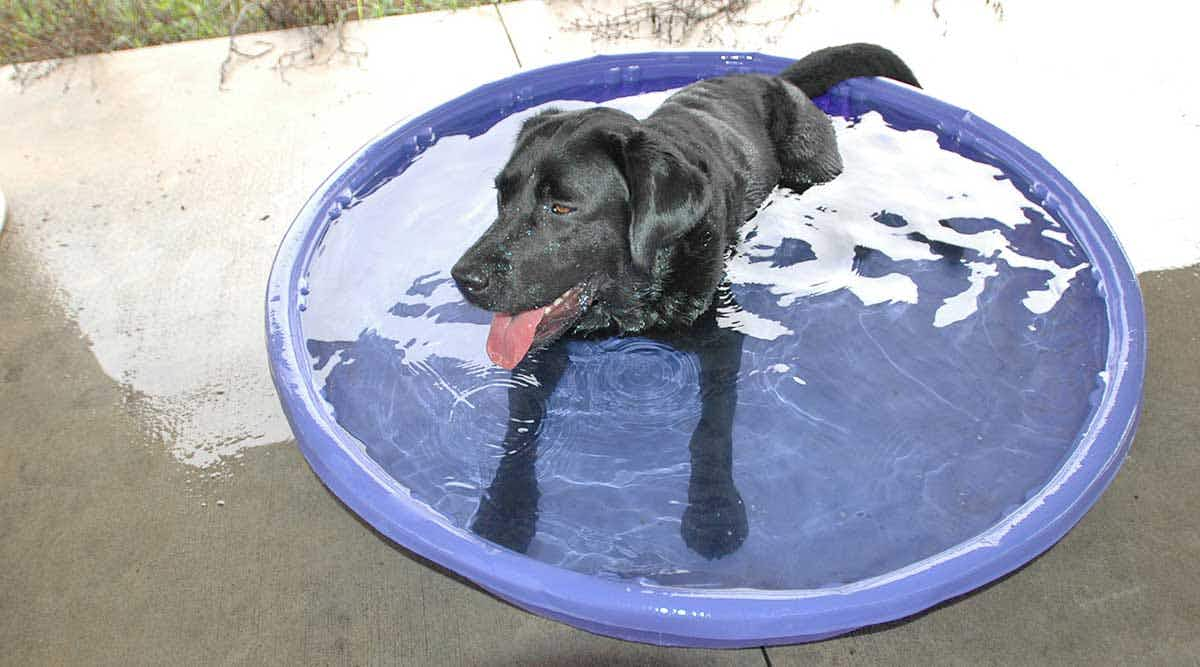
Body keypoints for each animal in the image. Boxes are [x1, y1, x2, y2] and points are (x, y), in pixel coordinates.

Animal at [451, 44, 916, 559]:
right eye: (502, 195)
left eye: (562, 207)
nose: (464, 278)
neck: (633, 298)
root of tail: (777, 78)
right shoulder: (539, 351)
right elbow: (522, 427)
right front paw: (506, 508)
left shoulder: (721, 337)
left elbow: (712, 429)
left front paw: (713, 512)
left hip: (812, 168)